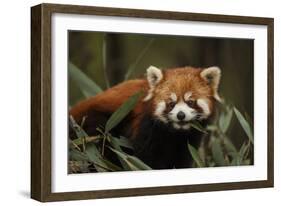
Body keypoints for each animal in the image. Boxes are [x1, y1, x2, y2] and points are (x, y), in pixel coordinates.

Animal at [69, 65, 220, 169]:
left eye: (190, 102)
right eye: (171, 103)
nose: (181, 115)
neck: (175, 132)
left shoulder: (190, 139)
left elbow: (182, 157)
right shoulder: (146, 127)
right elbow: (144, 157)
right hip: (96, 124)